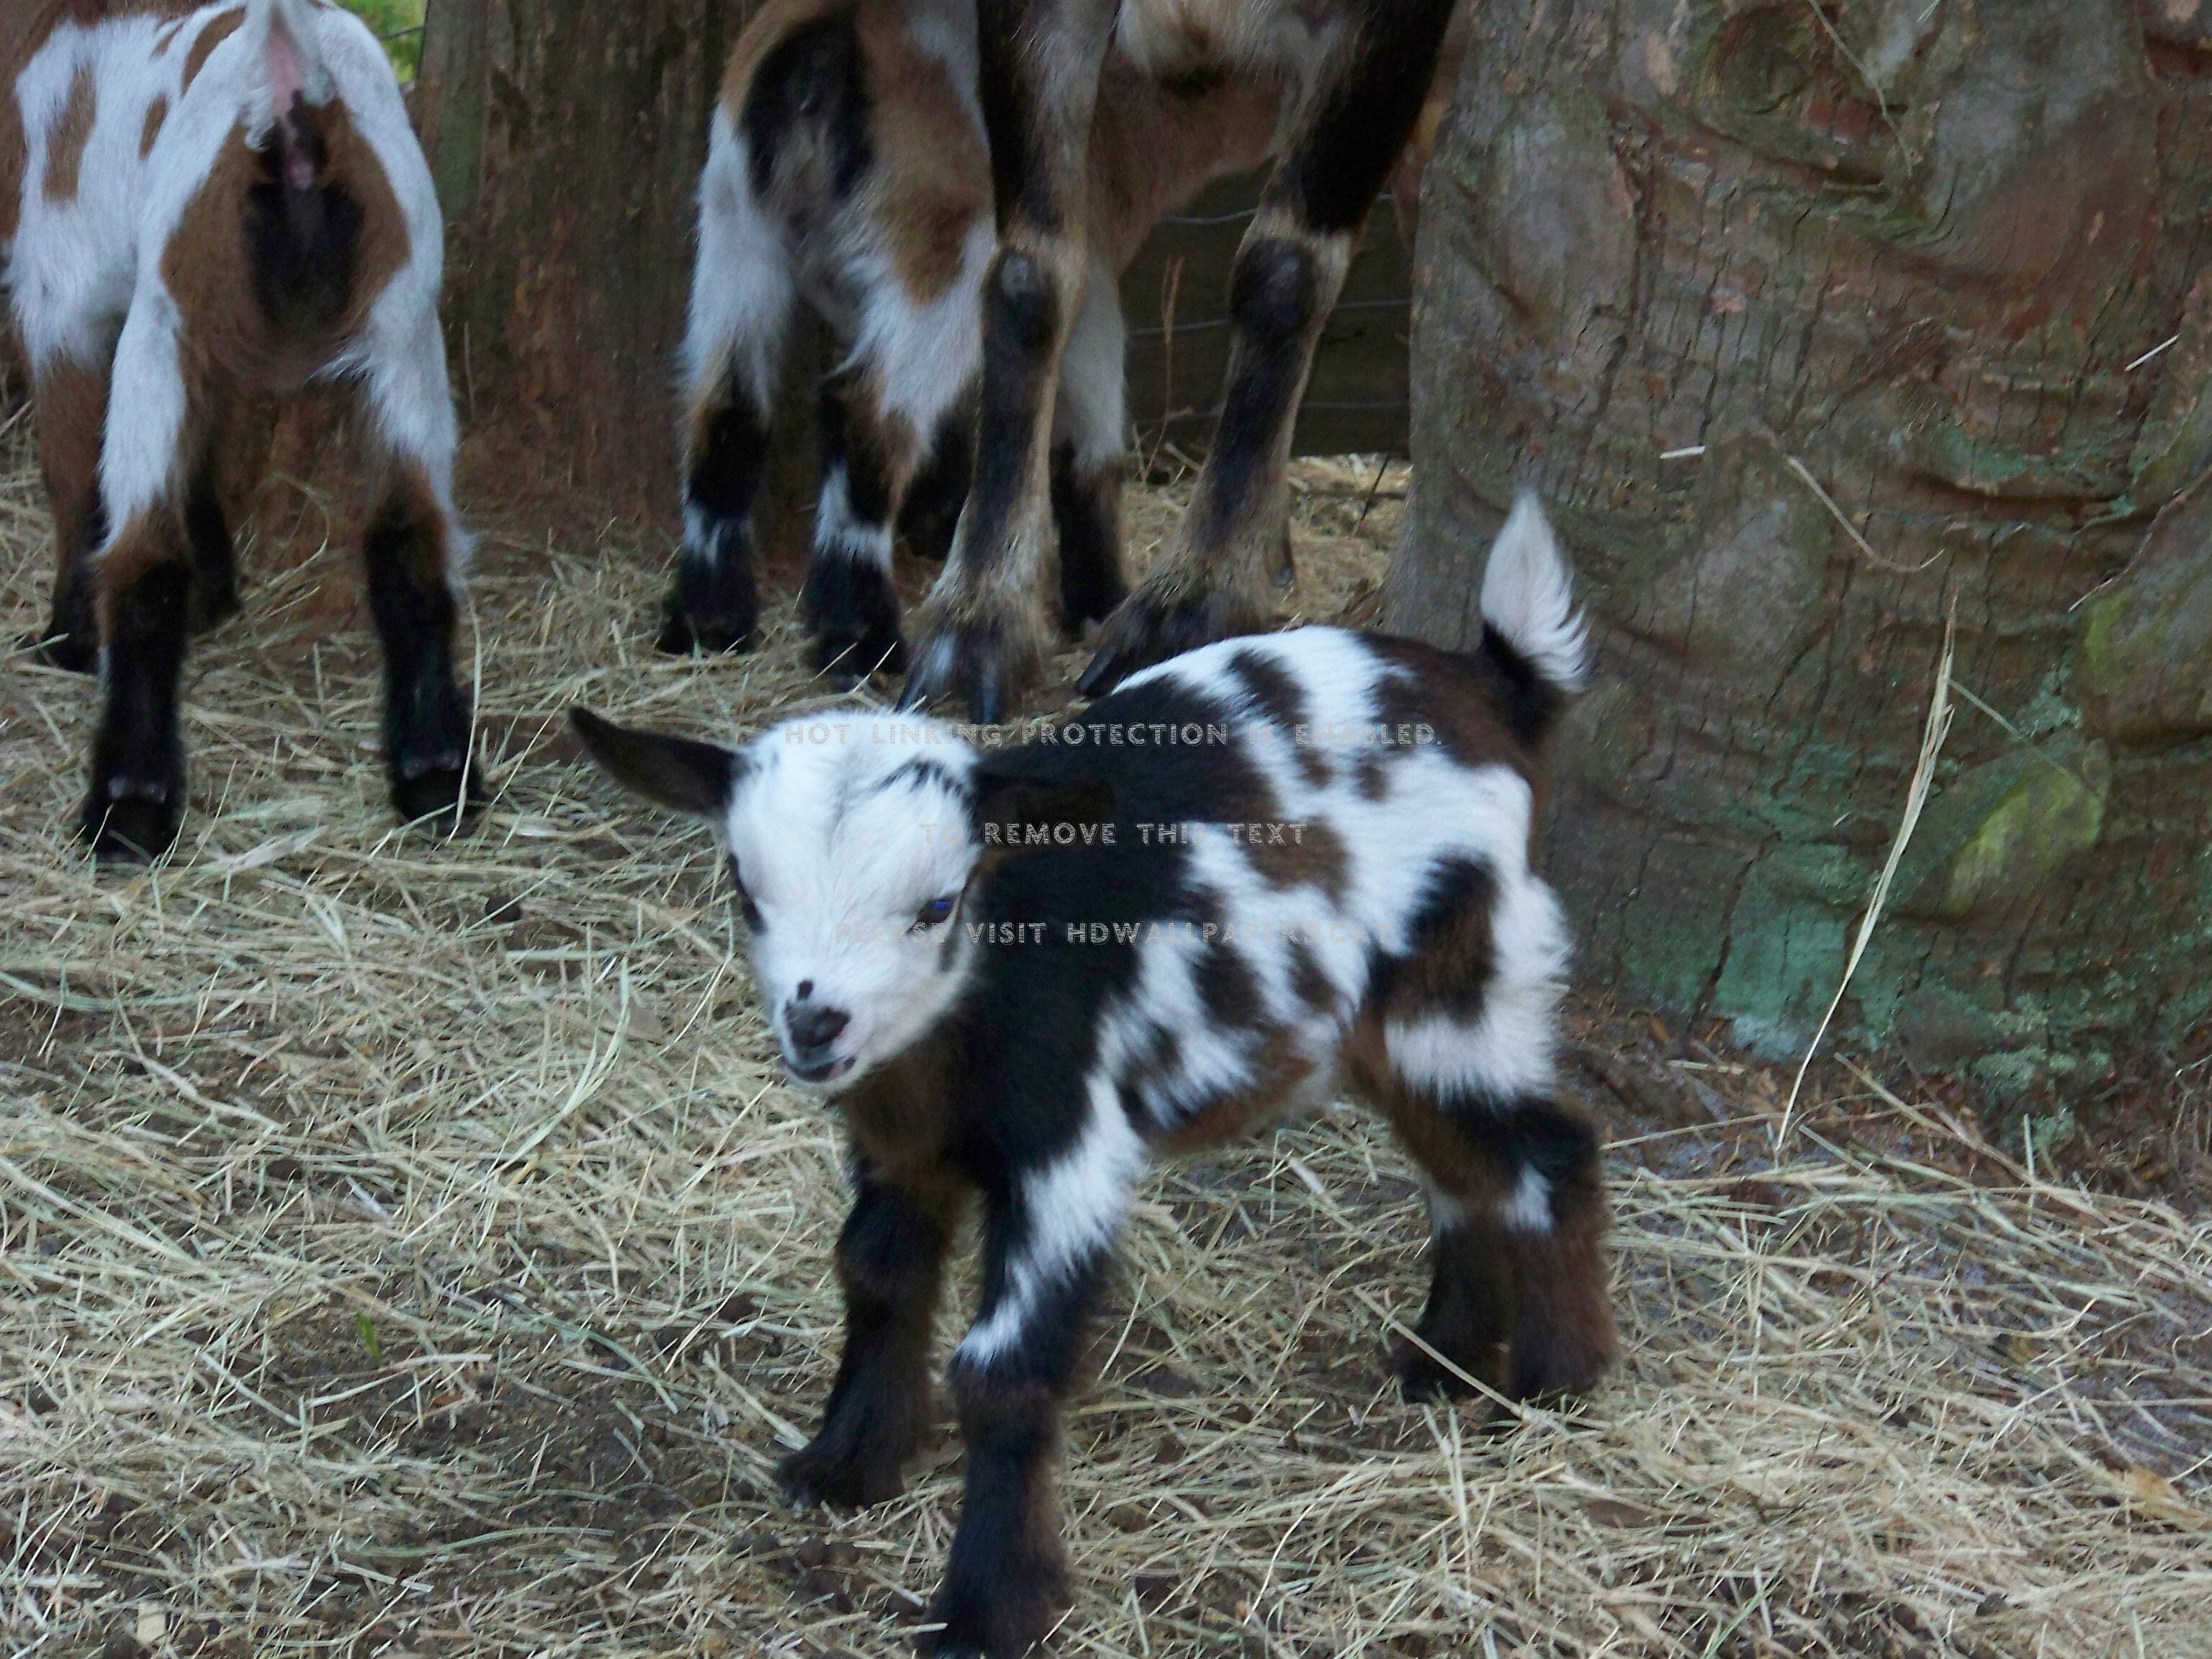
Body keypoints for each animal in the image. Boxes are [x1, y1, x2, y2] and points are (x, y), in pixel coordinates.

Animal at [5, 0, 474, 861]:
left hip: (167, 315)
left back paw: (129, 806)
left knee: (144, 553)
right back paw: (433, 774)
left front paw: (69, 637)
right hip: (402, 327)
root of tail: (295, 104)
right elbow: (203, 451)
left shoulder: (63, 300)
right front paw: (218, 592)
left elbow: (74, 474)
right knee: (411, 535)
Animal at [575, 493, 1616, 1659]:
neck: (982, 992)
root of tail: (1495, 685)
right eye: (745, 890)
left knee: (1547, 1151)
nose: (817, 1022)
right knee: (1458, 1161)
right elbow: (876, 1276)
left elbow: (1003, 1369)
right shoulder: (901, 1145)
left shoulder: (1068, 1147)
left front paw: (989, 1611)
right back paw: (1439, 1366)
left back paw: (1552, 1386)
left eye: (938, 904)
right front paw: (844, 1466)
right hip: (1391, 1024)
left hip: (1461, 986)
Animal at [662, 0, 1461, 694]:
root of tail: (824, 46)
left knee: (728, 409)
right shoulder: (1097, 278)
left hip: (734, 241)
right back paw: (860, 634)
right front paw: (1103, 599)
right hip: (935, 264)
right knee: (864, 410)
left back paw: (709, 620)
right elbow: (1090, 441)